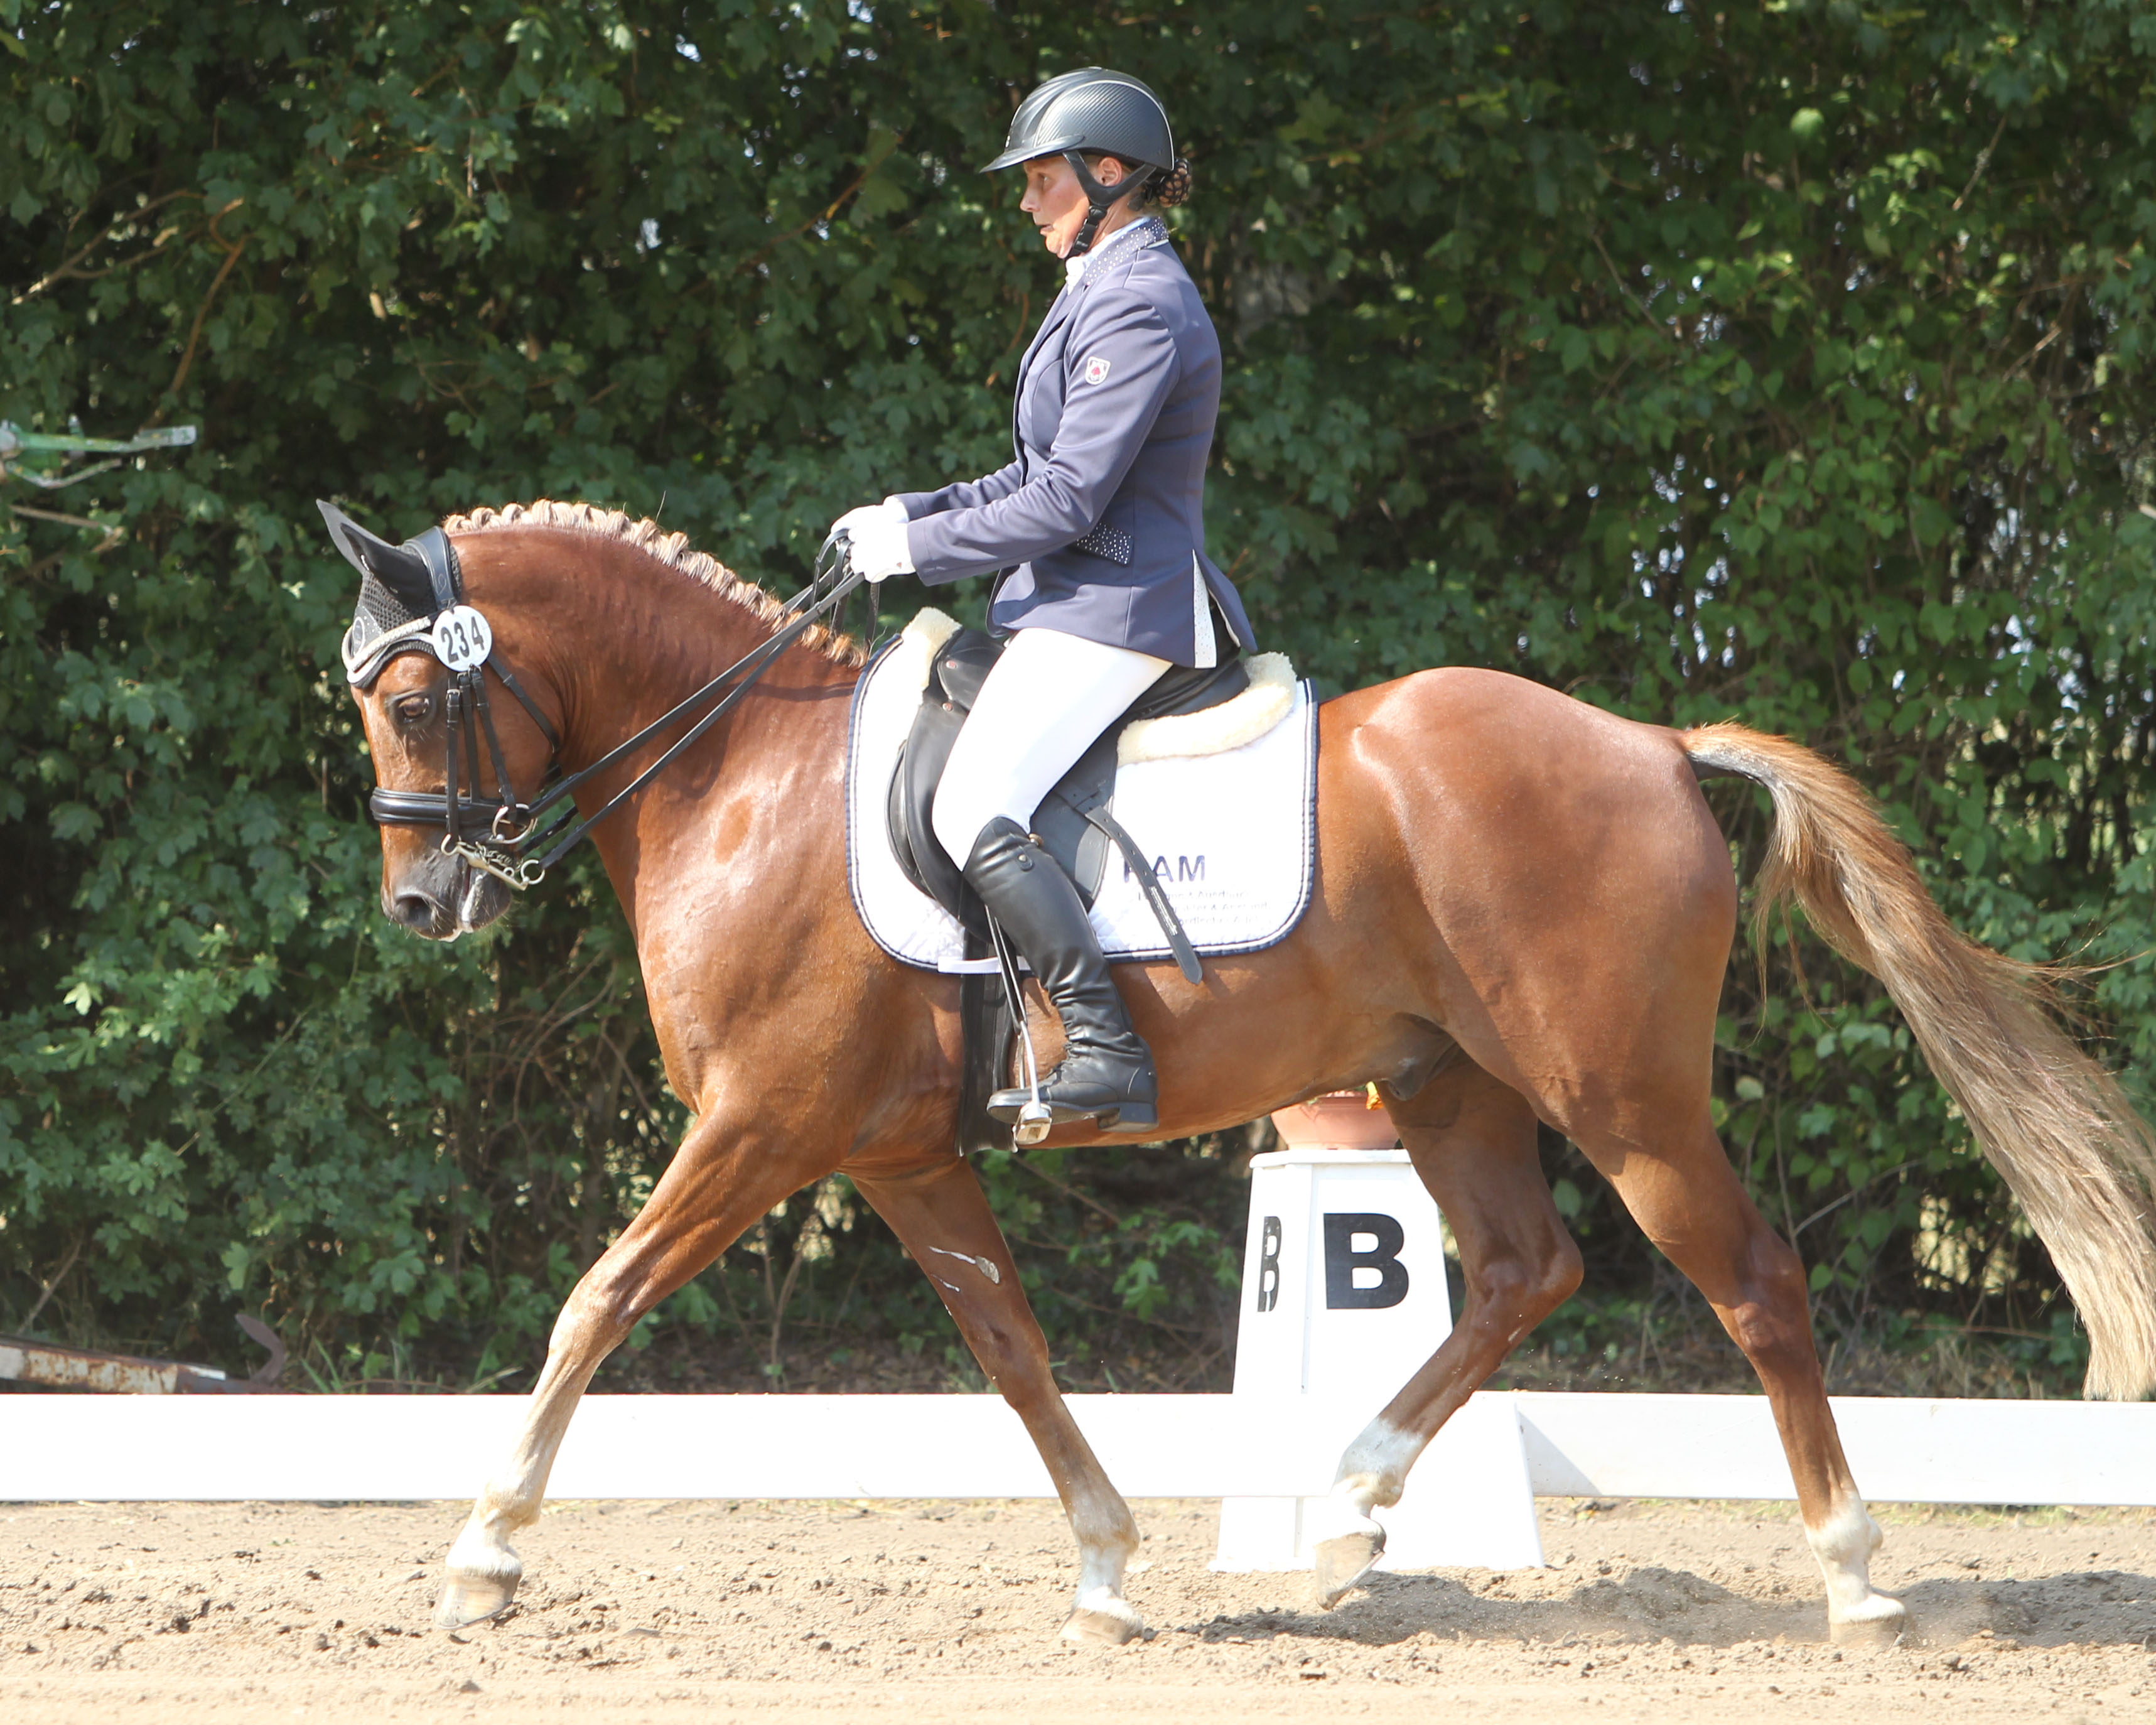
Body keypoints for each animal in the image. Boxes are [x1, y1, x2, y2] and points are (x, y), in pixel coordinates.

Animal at [340, 498, 2156, 1647]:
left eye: (416, 699)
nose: (422, 905)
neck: (738, 773)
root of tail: (1645, 742)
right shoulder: (894, 1155)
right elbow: (1011, 1351)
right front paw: (1105, 1569)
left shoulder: (757, 1129)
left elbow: (596, 1298)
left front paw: (481, 1558)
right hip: (1443, 1084)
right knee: (1524, 1266)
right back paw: (1350, 1511)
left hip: (1622, 1096)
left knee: (1753, 1280)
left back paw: (1854, 1576)